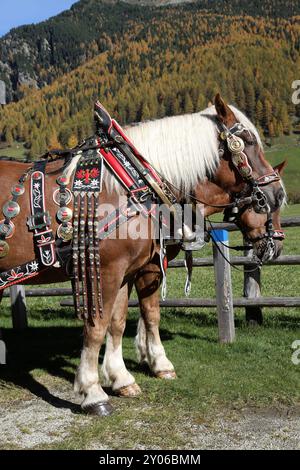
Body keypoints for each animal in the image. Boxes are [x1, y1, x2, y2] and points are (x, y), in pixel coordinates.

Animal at [0, 92, 286, 414]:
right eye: (247, 141)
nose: (277, 194)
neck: (133, 185)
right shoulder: (110, 271)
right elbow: (100, 326)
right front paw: (94, 391)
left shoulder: (129, 270)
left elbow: (122, 320)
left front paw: (123, 377)